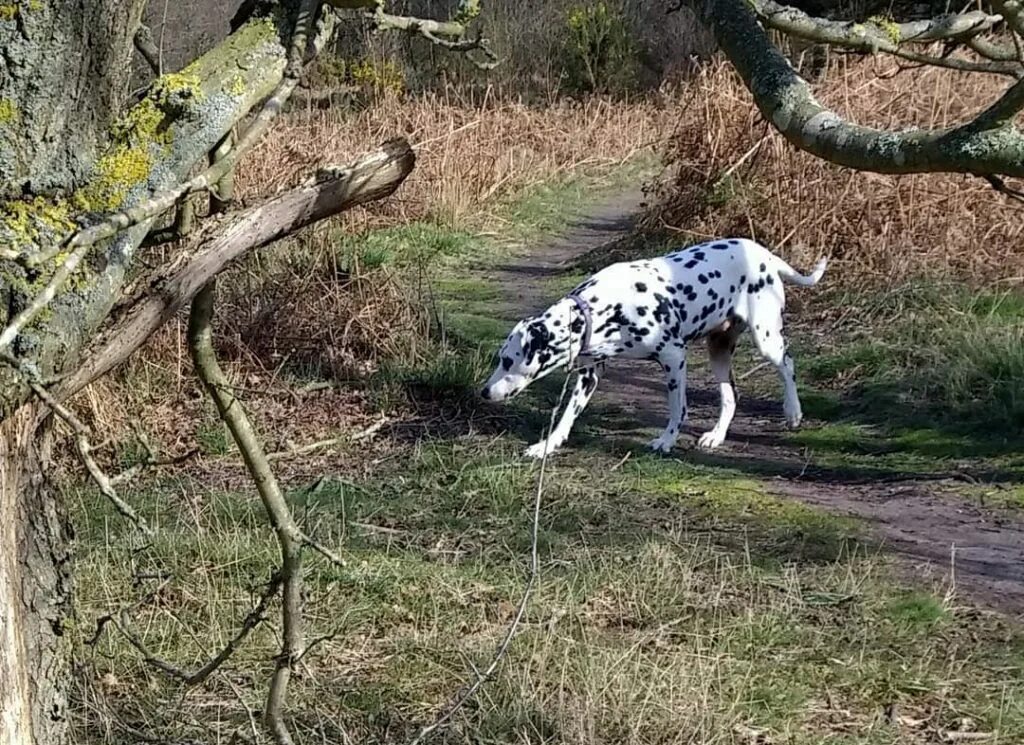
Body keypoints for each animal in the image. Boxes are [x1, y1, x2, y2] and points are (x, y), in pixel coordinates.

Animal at [481, 238, 831, 460]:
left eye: (507, 360)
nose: (484, 392)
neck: (602, 308)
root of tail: (766, 256)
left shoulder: (674, 358)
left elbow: (678, 409)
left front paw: (666, 441)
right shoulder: (589, 374)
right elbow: (567, 415)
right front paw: (546, 446)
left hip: (766, 338)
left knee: (787, 365)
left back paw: (793, 411)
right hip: (718, 350)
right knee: (731, 396)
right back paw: (716, 435)